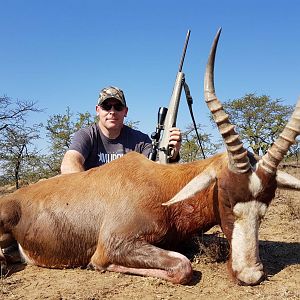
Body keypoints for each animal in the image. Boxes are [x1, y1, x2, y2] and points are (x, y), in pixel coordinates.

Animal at [0, 28, 300, 286]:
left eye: (265, 206)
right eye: (225, 197)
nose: (250, 275)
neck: (162, 185)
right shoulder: (115, 243)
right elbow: (181, 266)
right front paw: (97, 265)